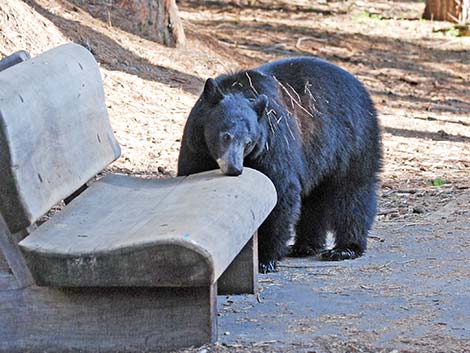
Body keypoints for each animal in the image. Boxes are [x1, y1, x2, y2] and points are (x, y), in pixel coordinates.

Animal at [177, 57, 382, 272]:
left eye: (249, 142)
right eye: (225, 136)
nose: (234, 168)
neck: (239, 88)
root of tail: (360, 86)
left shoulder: (273, 142)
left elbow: (281, 191)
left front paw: (265, 258)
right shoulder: (196, 143)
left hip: (353, 141)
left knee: (352, 192)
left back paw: (345, 248)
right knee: (314, 200)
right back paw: (304, 246)